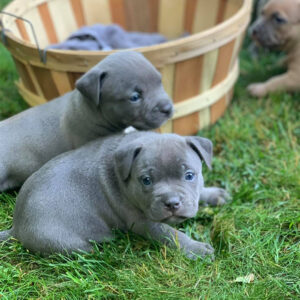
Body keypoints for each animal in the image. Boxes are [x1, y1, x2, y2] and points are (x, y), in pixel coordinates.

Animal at [0, 132, 227, 260]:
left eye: (189, 175)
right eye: (146, 180)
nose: (172, 203)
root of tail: (16, 227)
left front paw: (214, 194)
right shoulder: (143, 222)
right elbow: (170, 234)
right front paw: (196, 249)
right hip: (62, 241)